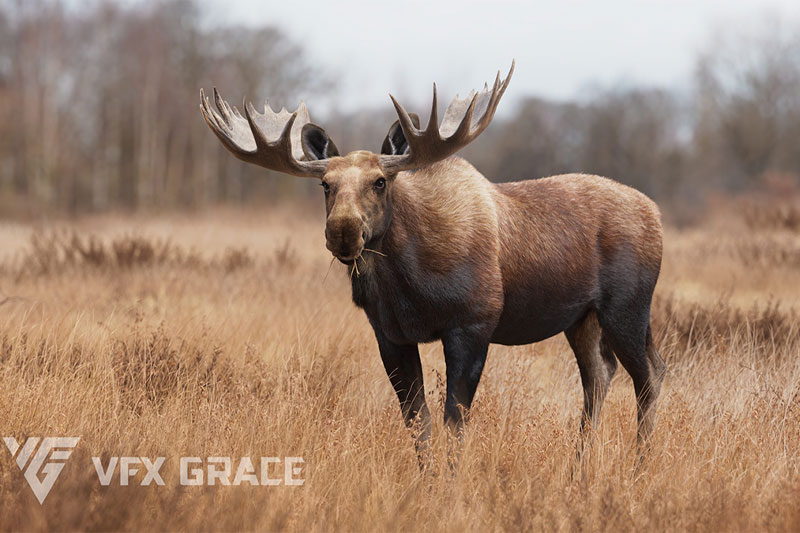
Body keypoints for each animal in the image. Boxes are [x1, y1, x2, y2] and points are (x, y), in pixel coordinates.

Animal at [200, 61, 667, 463]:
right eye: (325, 185)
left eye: (380, 181)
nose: (343, 231)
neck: (408, 285)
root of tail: (656, 213)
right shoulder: (390, 335)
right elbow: (417, 421)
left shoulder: (472, 324)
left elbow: (454, 422)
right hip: (581, 318)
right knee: (600, 376)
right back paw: (580, 467)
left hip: (627, 307)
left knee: (650, 375)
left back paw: (639, 465)